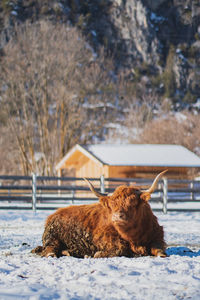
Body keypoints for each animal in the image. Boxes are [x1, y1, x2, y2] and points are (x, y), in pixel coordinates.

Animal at [31, 171, 167, 258]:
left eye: (133, 202)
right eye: (112, 204)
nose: (117, 216)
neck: (134, 237)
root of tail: (54, 214)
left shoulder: (157, 236)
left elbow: (159, 248)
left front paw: (161, 254)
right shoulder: (104, 238)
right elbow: (120, 248)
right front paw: (98, 254)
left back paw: (69, 252)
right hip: (52, 238)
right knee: (50, 249)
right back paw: (53, 254)